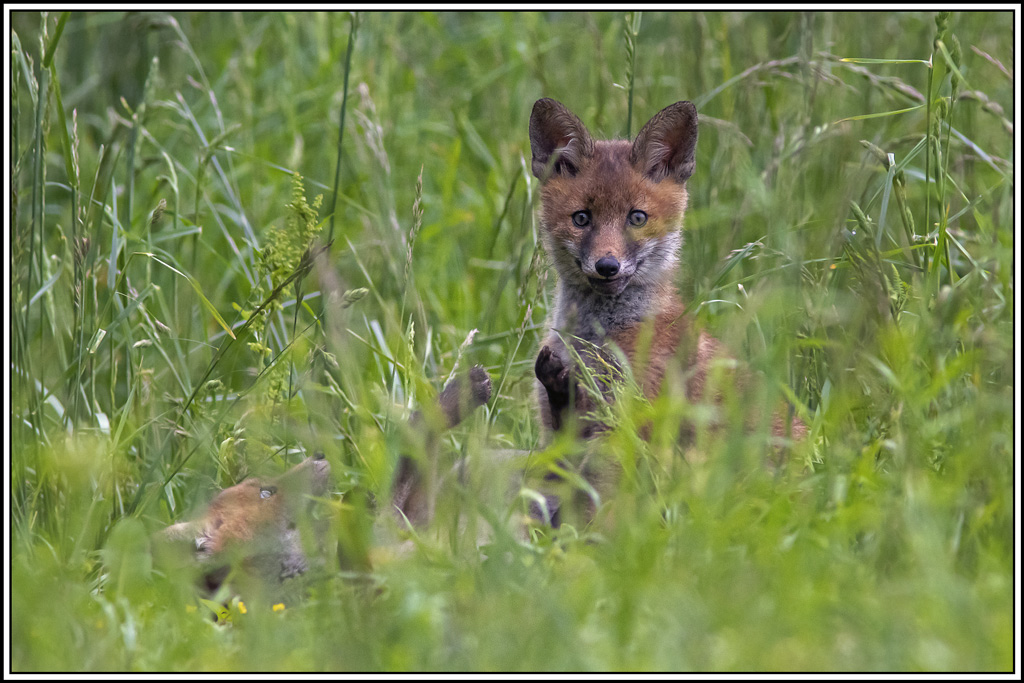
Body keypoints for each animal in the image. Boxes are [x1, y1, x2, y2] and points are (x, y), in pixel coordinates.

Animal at [529, 98, 805, 513]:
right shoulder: (560, 425)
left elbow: (608, 507)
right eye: (581, 218)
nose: (607, 266)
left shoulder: (628, 424)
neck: (594, 341)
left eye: (637, 217)